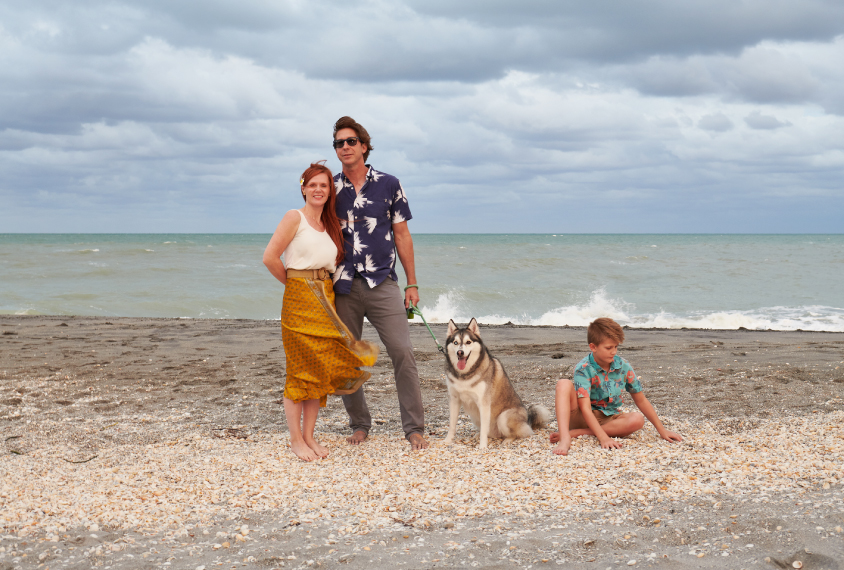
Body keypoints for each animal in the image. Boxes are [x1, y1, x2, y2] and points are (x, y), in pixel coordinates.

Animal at [442, 318, 552, 446]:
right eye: (455, 342)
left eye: (468, 342)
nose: (460, 352)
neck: (464, 374)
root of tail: (528, 420)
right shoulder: (454, 400)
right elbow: (452, 425)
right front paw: (448, 440)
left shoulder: (484, 403)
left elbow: (484, 429)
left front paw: (482, 446)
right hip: (475, 417)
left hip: (503, 417)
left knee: (519, 433)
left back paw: (507, 440)